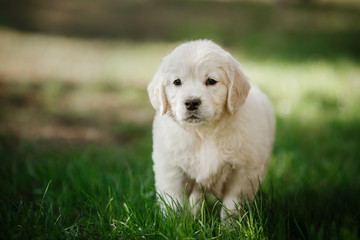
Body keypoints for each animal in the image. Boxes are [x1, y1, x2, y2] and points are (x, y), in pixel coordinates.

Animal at [146, 40, 276, 218]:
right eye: (177, 82)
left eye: (211, 81)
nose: (191, 102)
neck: (204, 131)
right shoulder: (171, 169)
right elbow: (173, 203)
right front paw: (173, 223)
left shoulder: (243, 174)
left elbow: (232, 206)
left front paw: (229, 225)